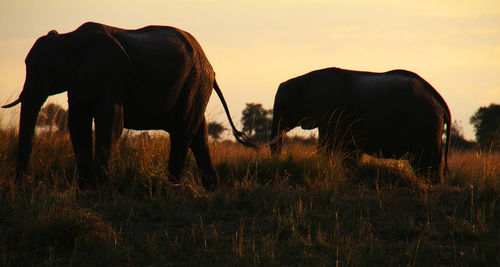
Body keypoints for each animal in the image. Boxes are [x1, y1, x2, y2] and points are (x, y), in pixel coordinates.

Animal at [4, 22, 258, 191]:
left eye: (49, 70)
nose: (24, 183)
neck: (71, 38)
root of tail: (210, 66)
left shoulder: (112, 76)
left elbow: (111, 122)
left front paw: (100, 188)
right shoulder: (82, 81)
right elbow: (77, 125)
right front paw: (86, 189)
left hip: (194, 83)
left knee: (183, 133)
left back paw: (172, 188)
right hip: (194, 87)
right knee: (198, 134)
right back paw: (211, 189)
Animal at [272, 68, 452, 184]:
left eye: (283, 106)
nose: (278, 162)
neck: (303, 80)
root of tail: (441, 102)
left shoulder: (331, 113)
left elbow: (327, 147)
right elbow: (349, 152)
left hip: (427, 124)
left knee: (427, 161)